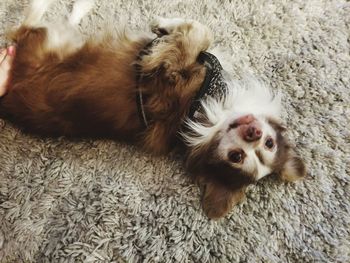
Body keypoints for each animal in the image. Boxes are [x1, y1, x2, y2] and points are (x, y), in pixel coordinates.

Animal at [0, 0, 304, 219]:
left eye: (236, 157)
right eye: (269, 143)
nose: (254, 132)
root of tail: (10, 97)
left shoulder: (166, 72)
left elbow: (197, 33)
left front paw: (164, 27)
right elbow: (202, 35)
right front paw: (165, 27)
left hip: (43, 42)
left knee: (27, 23)